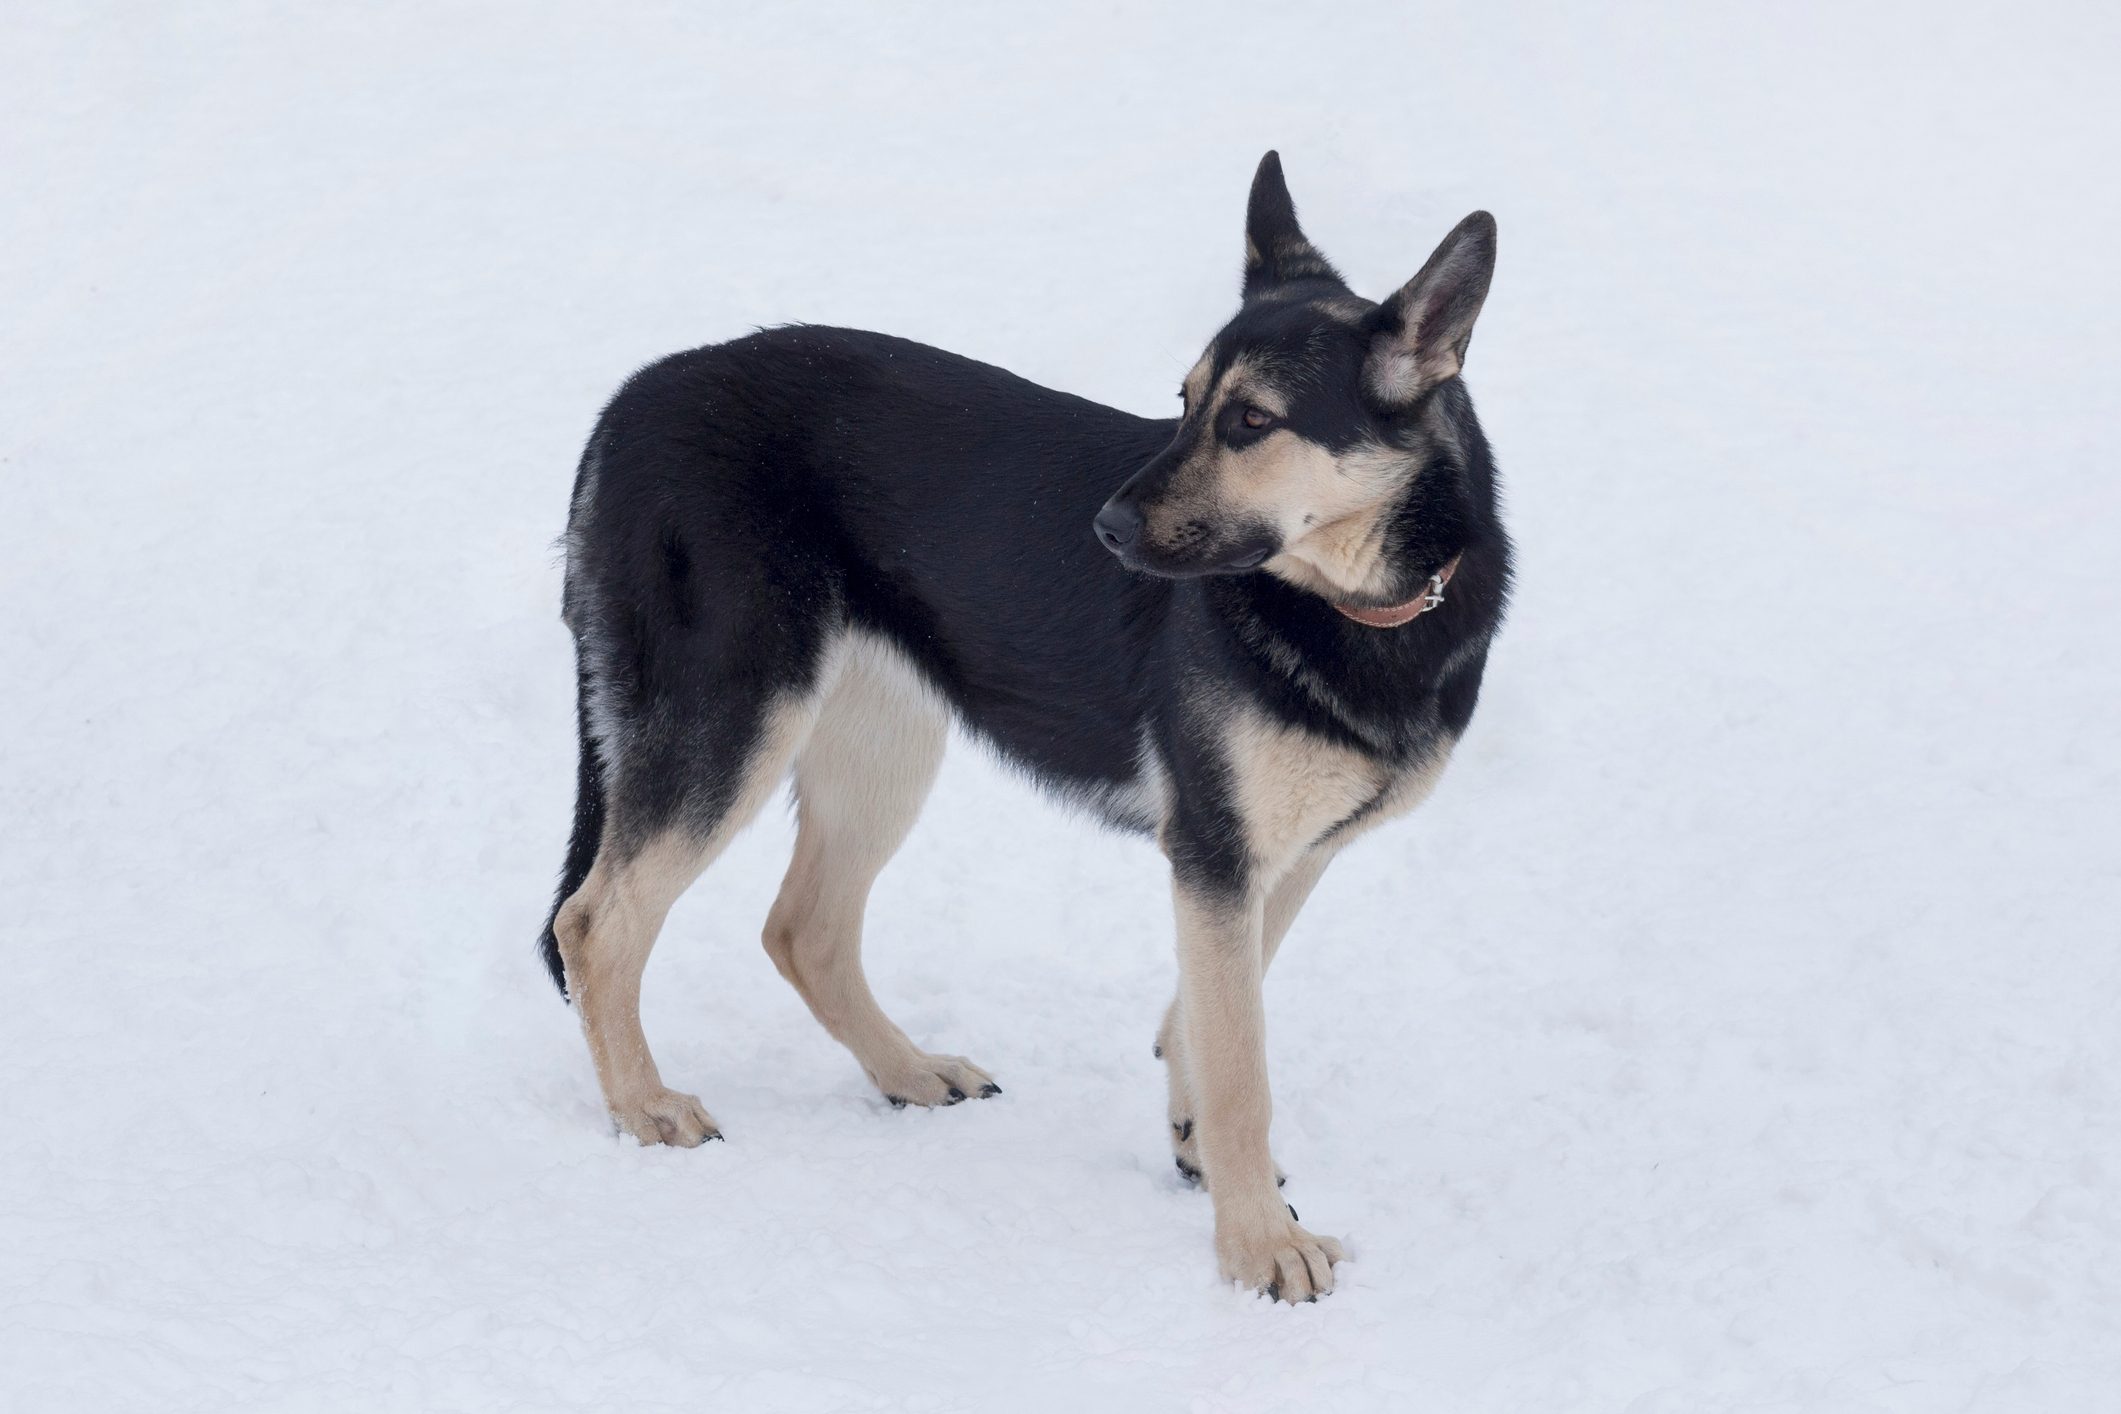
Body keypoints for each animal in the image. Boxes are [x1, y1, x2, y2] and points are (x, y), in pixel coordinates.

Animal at [547, 154, 1510, 1305]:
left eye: (1250, 422)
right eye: (1185, 404)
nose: (1103, 529)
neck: (1356, 605)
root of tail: (629, 399)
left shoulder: (1273, 860)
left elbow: (1207, 1017)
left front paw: (1201, 1151)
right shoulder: (1218, 854)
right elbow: (1243, 1063)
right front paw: (1258, 1247)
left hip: (884, 744)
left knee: (803, 928)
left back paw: (908, 1073)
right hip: (733, 722)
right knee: (594, 924)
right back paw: (645, 1109)